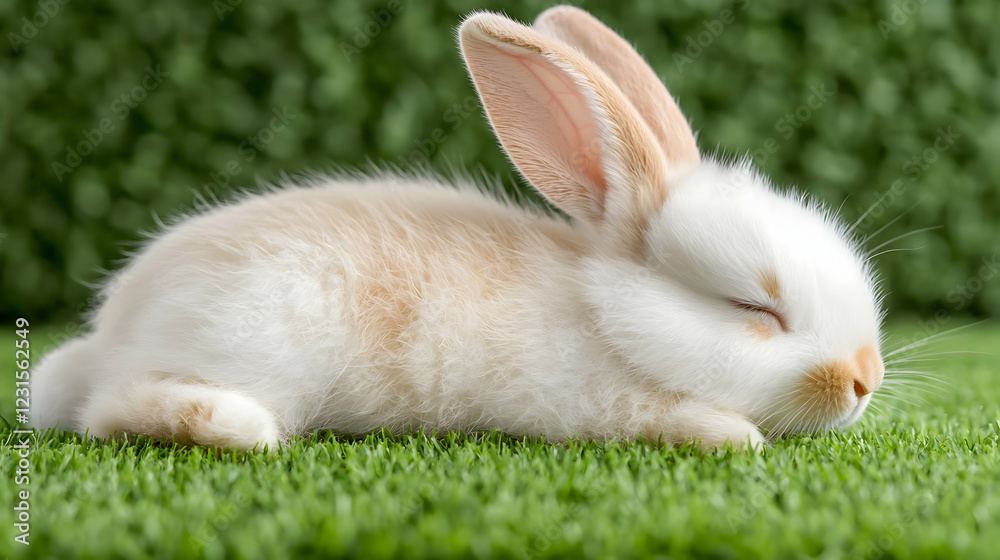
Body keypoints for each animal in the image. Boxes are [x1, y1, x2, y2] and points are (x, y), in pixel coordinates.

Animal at [31, 6, 884, 451]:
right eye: (755, 310)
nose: (865, 379)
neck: (606, 316)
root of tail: (114, 333)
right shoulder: (602, 406)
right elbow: (686, 422)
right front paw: (737, 435)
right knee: (112, 411)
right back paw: (241, 425)